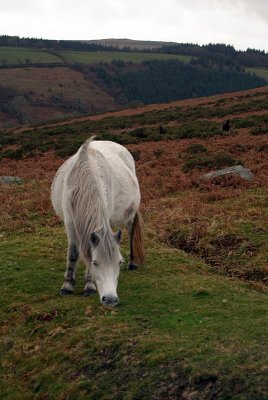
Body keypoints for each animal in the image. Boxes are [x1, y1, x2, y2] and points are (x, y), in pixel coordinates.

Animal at [51, 138, 146, 306]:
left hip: (129, 214)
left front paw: (89, 285)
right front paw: (67, 285)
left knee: (131, 232)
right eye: (95, 263)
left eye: (119, 262)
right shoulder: (69, 223)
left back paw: (133, 263)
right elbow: (73, 253)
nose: (110, 299)